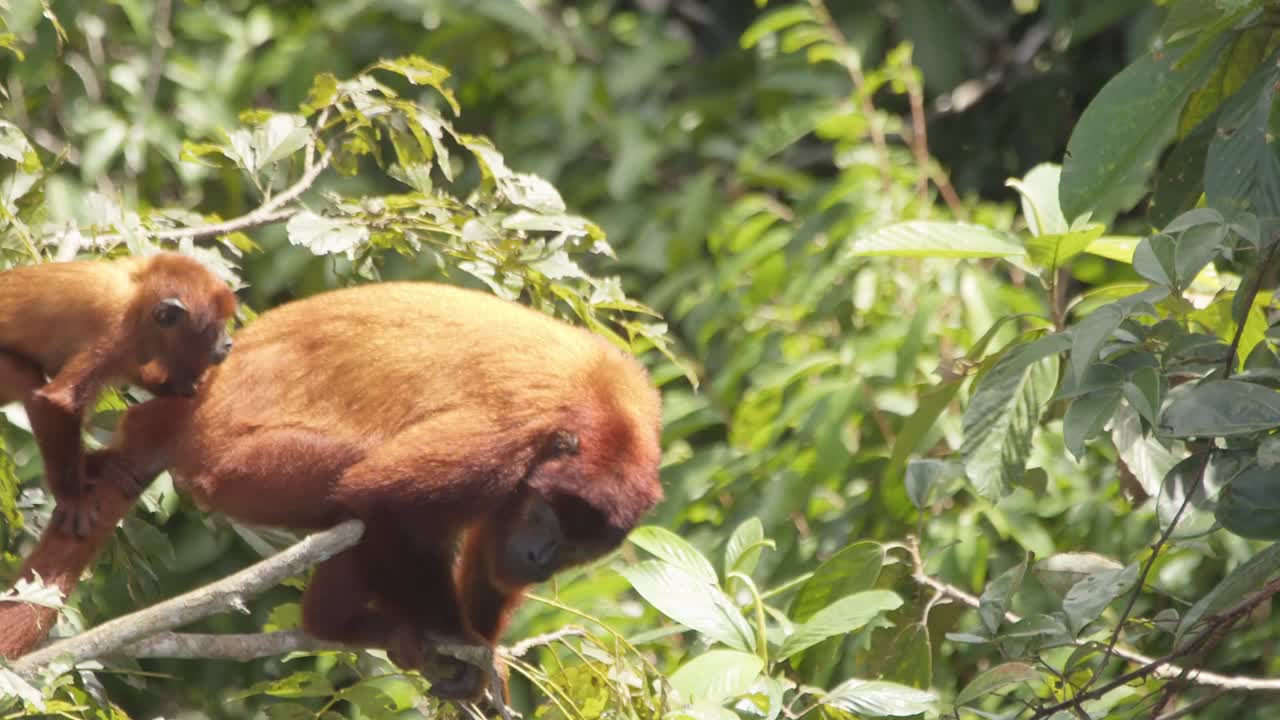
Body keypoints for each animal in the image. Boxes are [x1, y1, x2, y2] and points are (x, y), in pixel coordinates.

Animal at [0, 253, 237, 537]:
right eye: (216, 328)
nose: (229, 343)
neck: (140, 299)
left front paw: (180, 386)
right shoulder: (116, 333)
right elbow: (57, 402)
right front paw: (73, 498)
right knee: (26, 377)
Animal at [0, 281, 663, 704]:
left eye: (576, 550)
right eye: (547, 518)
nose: (539, 559)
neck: (598, 414)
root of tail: (184, 408)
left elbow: (485, 557)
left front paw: (478, 651)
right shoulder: (503, 439)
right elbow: (383, 493)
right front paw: (456, 645)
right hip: (239, 466)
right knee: (362, 492)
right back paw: (345, 626)